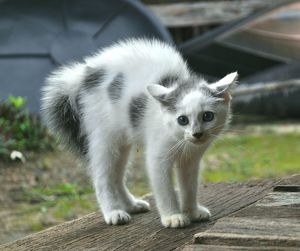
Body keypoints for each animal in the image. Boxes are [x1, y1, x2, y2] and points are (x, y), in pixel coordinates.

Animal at [41, 38, 238, 228]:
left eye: (207, 116)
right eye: (182, 120)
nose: (197, 134)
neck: (179, 140)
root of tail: (84, 73)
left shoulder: (191, 160)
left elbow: (189, 186)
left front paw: (192, 211)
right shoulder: (157, 158)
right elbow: (165, 189)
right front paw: (173, 216)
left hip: (122, 143)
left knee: (117, 177)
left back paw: (131, 205)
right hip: (104, 138)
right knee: (103, 178)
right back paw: (113, 212)